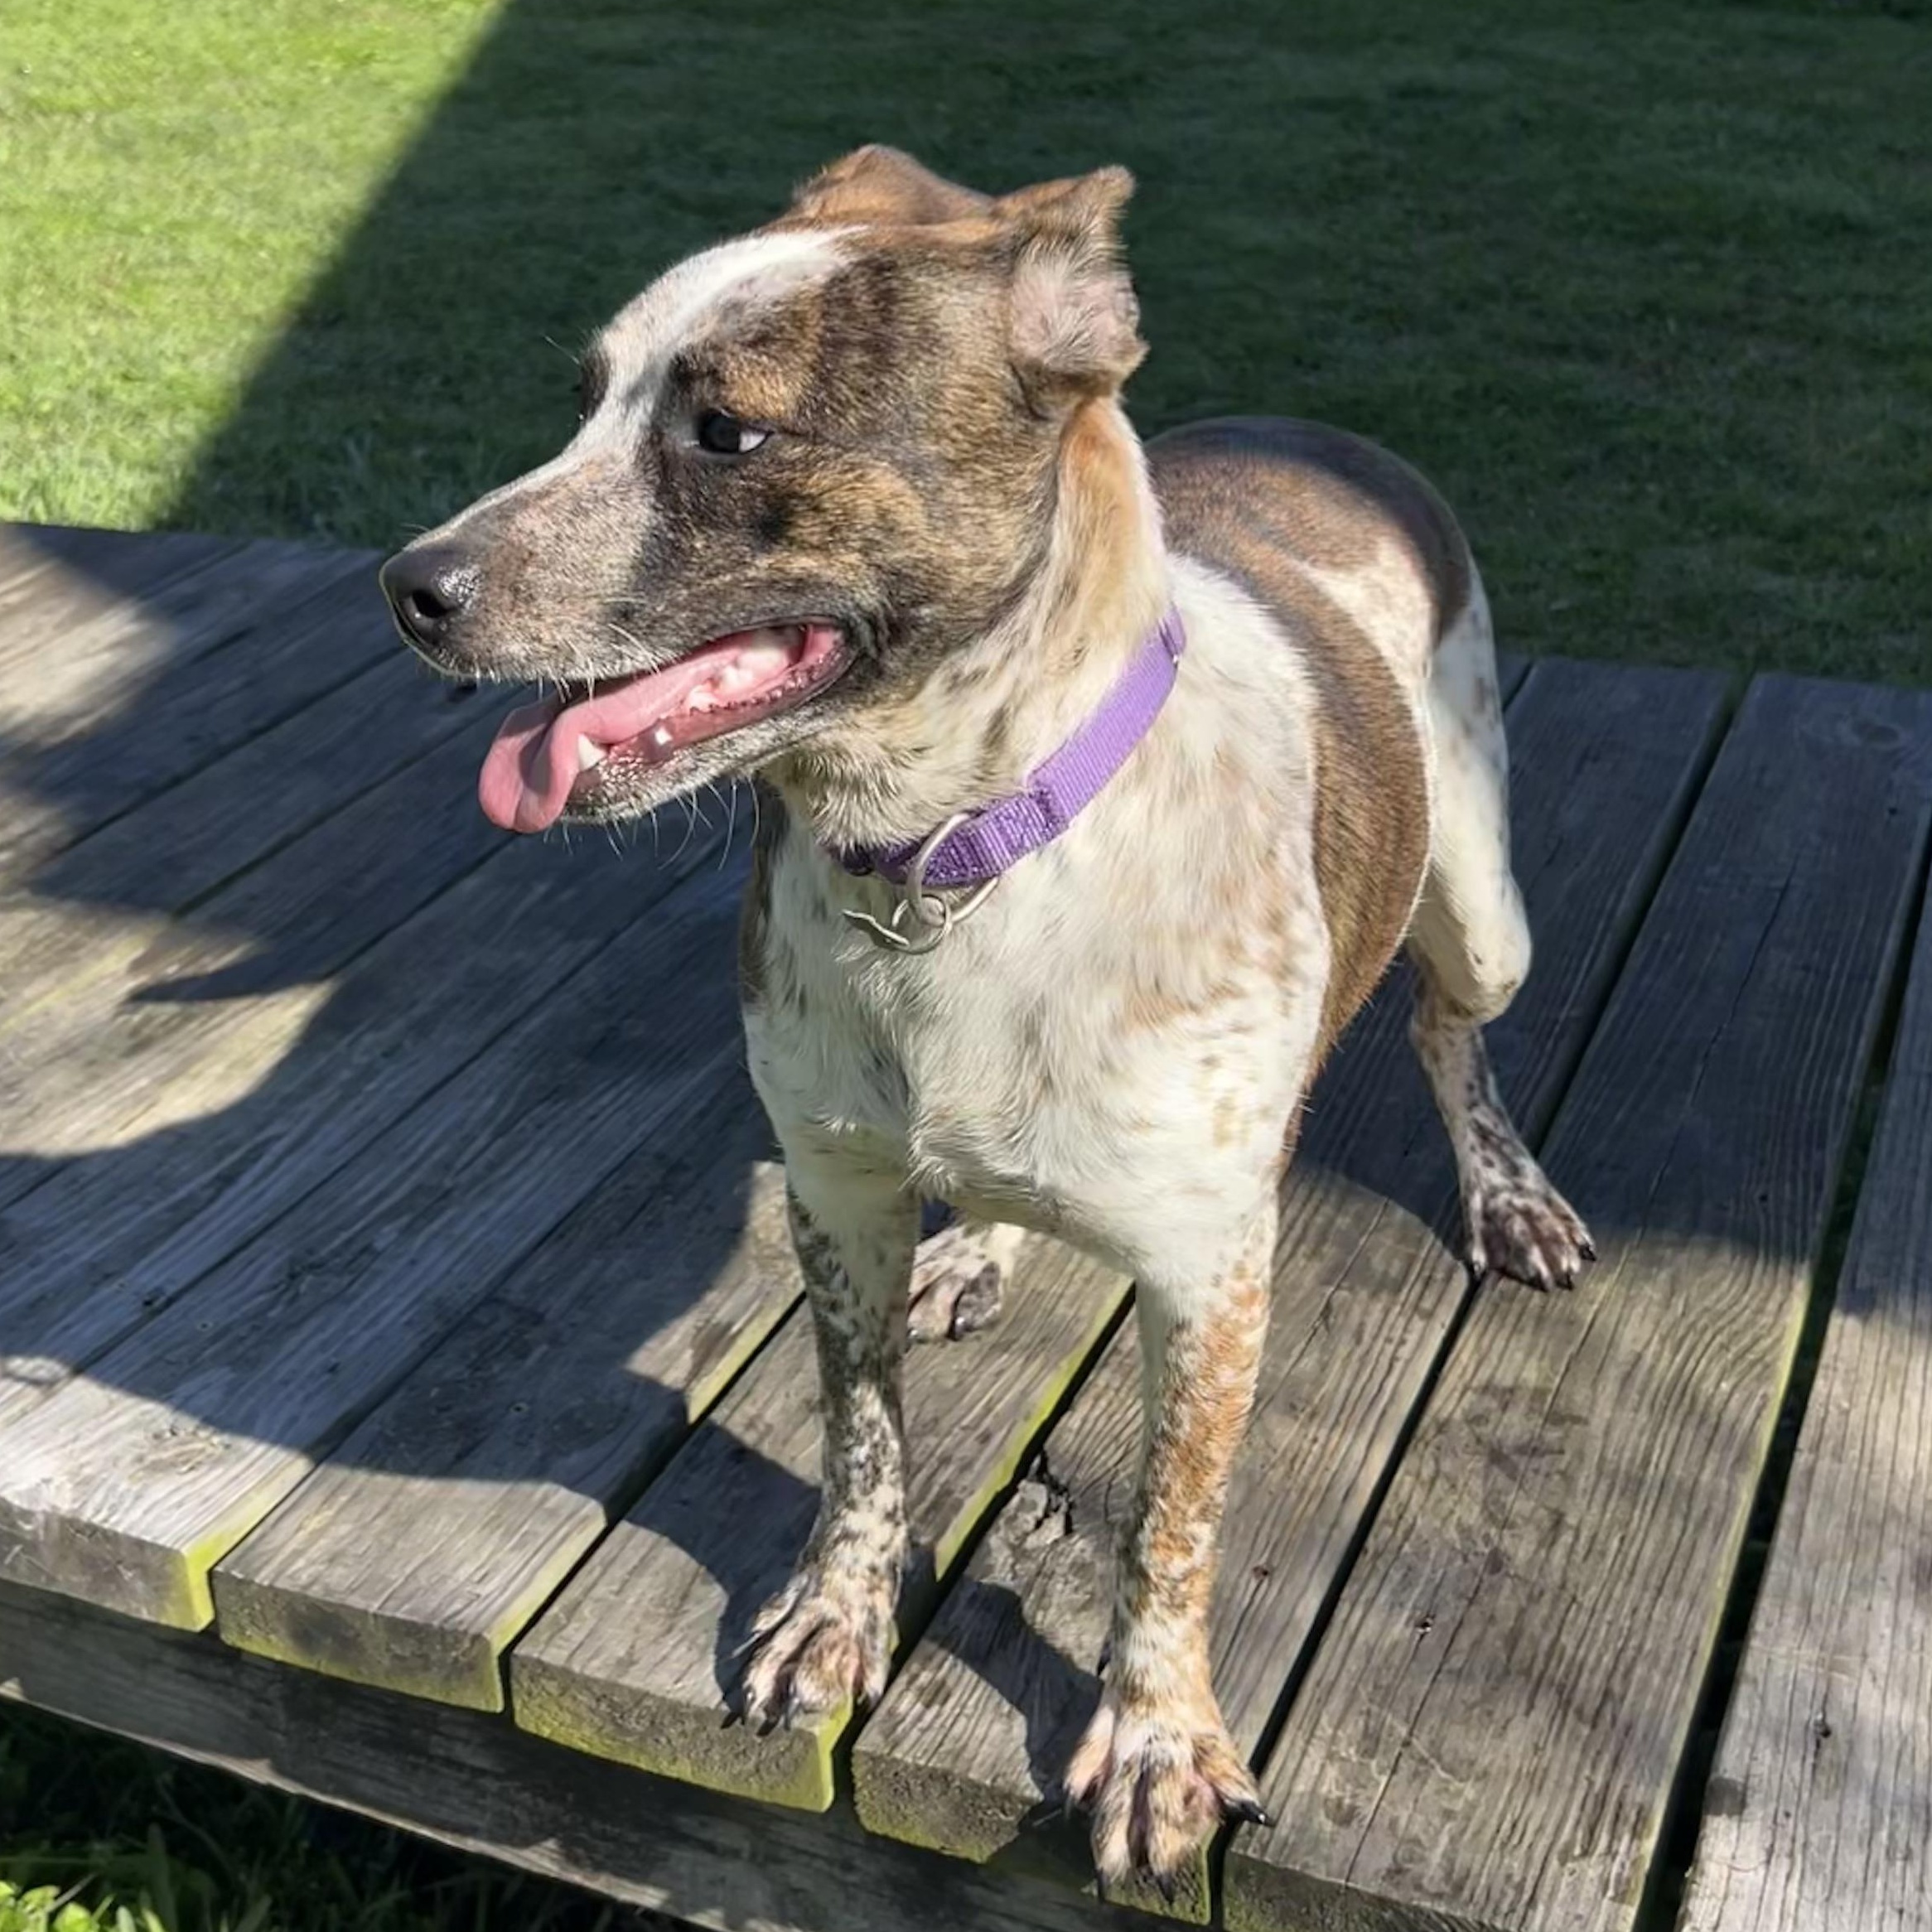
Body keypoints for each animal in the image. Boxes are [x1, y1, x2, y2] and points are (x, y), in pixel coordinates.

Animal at [380, 145, 1592, 1891]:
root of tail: (1323, 433)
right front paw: (835, 1612)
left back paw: (1507, 1191)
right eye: (587, 396)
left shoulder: (1213, 1274)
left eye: (726, 431)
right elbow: (859, 1438)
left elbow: (1165, 1531)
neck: (952, 858)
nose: (407, 587)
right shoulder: (835, 1190)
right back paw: (993, 1245)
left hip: (1483, 906)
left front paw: (1157, 1739)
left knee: (1448, 1027)